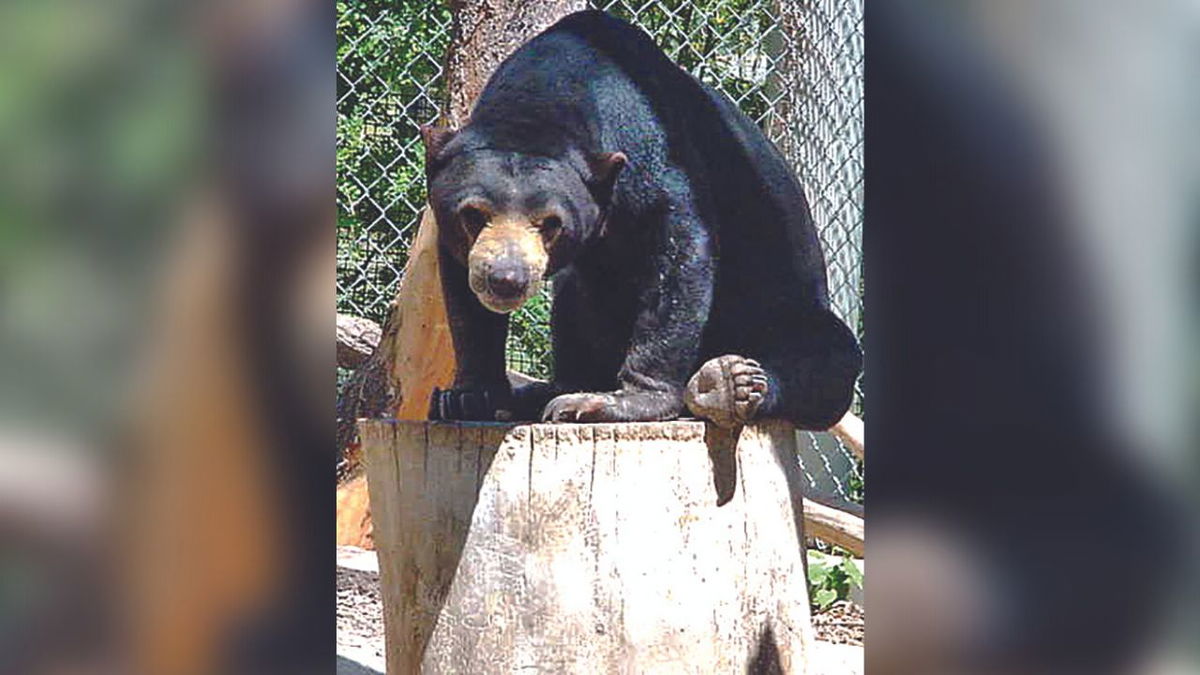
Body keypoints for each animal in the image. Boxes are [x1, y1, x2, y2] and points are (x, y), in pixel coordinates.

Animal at [422, 10, 864, 427]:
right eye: (473, 215)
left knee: (827, 357)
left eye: (551, 222)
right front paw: (466, 397)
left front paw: (617, 403)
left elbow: (680, 247)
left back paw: (725, 384)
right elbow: (463, 295)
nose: (506, 278)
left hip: (785, 305)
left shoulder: (655, 145)